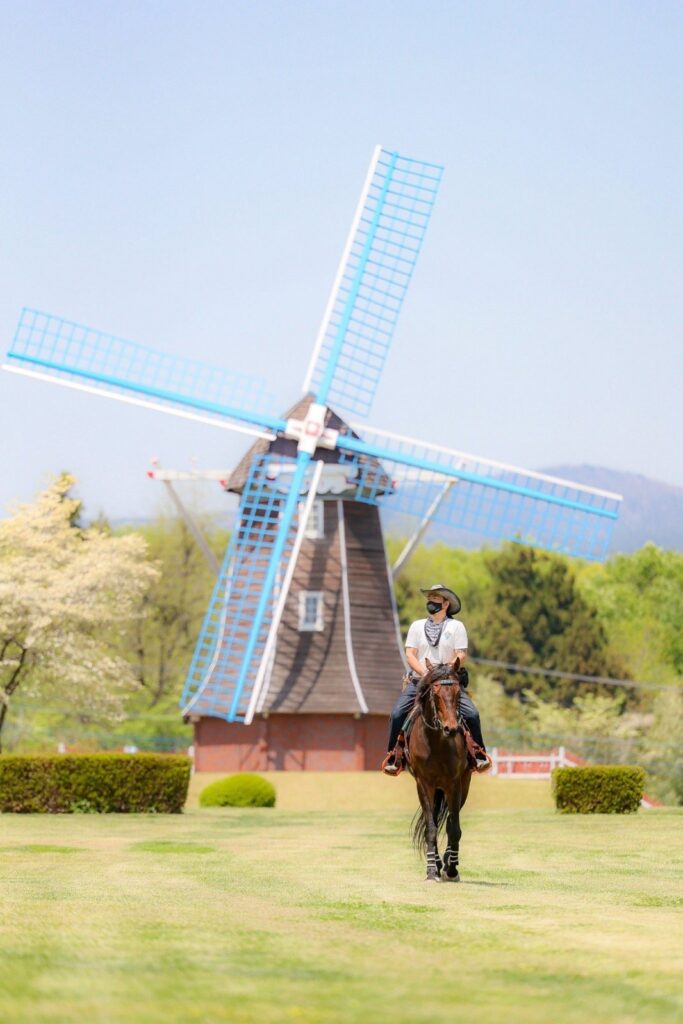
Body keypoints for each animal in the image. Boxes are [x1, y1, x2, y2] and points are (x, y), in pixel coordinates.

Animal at [409, 659, 473, 884]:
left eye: (458, 692)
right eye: (435, 693)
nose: (451, 729)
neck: (436, 742)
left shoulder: (454, 783)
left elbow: (454, 829)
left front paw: (451, 868)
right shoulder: (423, 784)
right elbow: (431, 828)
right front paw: (431, 870)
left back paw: (447, 862)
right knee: (435, 821)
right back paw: (436, 863)